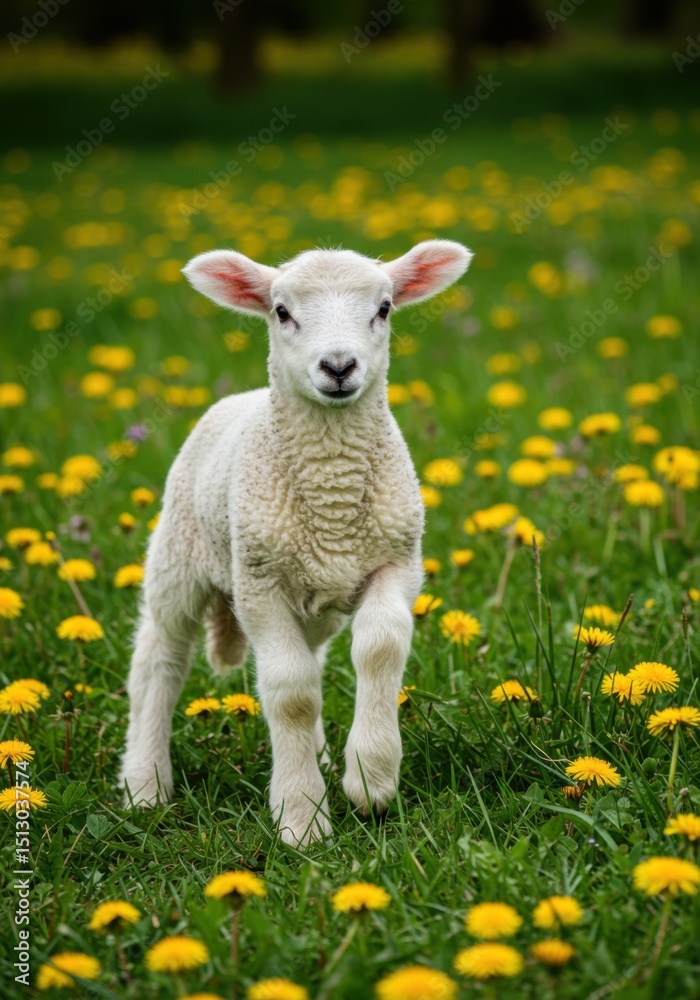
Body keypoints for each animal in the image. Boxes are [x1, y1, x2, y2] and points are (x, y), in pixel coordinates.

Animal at [119, 239, 472, 846]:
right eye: (281, 311)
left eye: (383, 308)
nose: (338, 367)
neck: (331, 490)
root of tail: (240, 397)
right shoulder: (260, 584)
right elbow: (290, 692)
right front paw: (302, 818)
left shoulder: (396, 563)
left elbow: (380, 646)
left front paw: (370, 779)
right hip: (179, 557)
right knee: (159, 659)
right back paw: (145, 784)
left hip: (315, 601)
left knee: (312, 656)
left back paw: (324, 757)